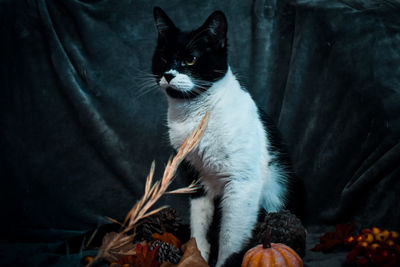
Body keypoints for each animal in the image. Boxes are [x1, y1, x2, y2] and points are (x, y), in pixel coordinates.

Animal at [152, 6, 290, 267]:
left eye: (191, 59)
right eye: (162, 58)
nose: (168, 74)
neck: (194, 114)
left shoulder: (242, 183)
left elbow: (230, 236)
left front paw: (224, 261)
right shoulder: (194, 178)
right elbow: (198, 225)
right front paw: (196, 256)